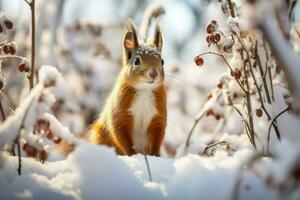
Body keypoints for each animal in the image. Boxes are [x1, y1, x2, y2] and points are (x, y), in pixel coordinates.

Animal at [86, 19, 166, 156]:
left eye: (162, 61)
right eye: (137, 61)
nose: (153, 74)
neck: (144, 90)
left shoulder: (158, 116)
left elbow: (157, 137)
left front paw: (155, 155)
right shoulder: (121, 113)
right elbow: (121, 134)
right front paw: (132, 155)